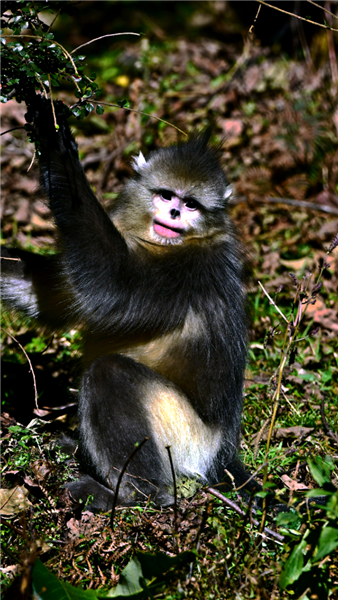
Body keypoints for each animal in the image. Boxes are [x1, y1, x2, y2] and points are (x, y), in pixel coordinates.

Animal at [0, 98, 256, 510]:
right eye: (166, 195)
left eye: (191, 205)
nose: (174, 213)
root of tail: (221, 455)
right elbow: (59, 296)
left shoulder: (189, 271)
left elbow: (108, 290)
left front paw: (55, 142)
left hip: (186, 441)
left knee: (111, 374)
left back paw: (128, 494)